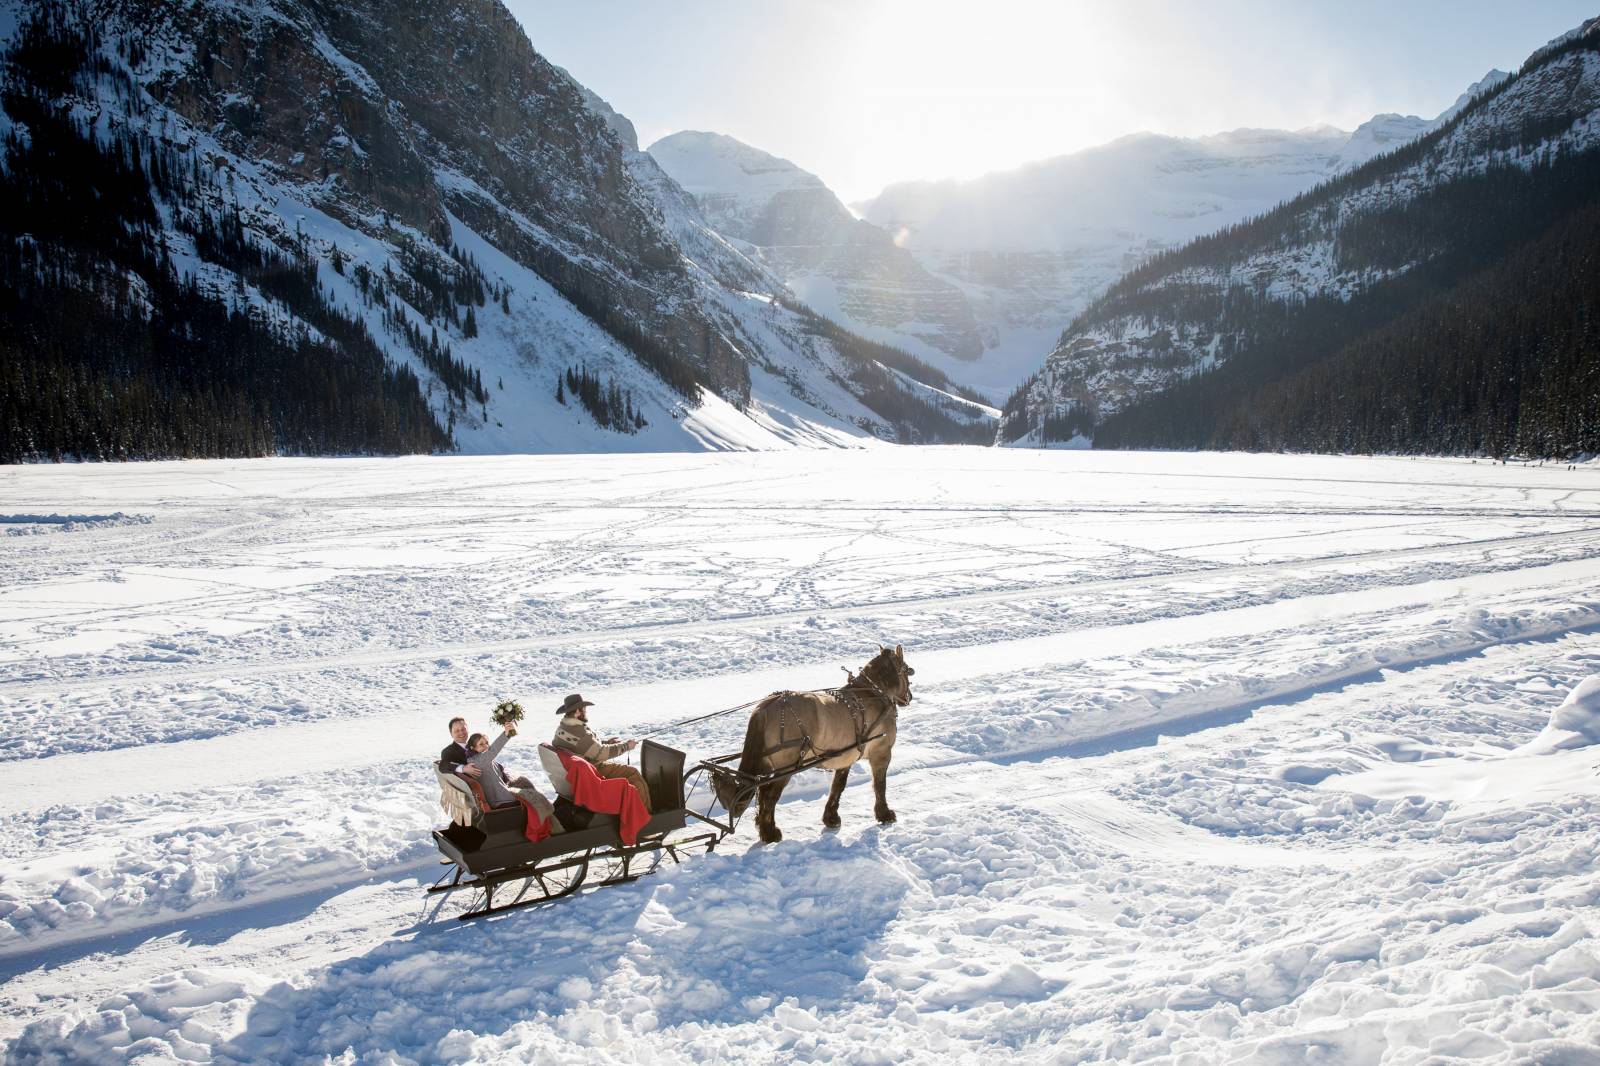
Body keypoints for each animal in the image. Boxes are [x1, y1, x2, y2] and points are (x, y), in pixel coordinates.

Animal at [716, 643, 915, 845]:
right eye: (907, 670)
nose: (909, 697)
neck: (872, 693)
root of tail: (766, 706)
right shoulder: (881, 753)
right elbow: (880, 784)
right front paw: (885, 814)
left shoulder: (845, 757)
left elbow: (838, 786)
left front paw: (831, 818)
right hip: (786, 767)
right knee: (769, 795)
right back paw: (770, 832)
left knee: (763, 793)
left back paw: (766, 830)